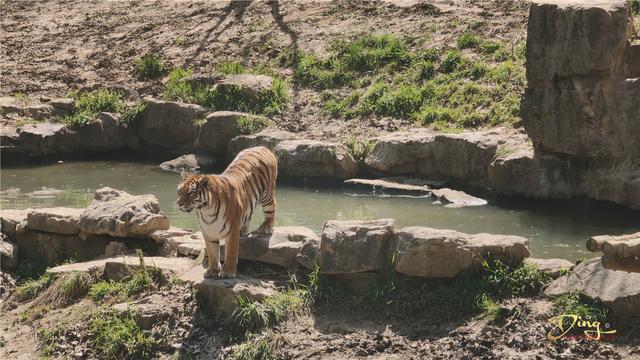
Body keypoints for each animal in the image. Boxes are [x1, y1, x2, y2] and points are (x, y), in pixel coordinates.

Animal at [176, 146, 276, 278]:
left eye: (191, 193)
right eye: (180, 191)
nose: (179, 204)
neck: (206, 211)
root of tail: (262, 147)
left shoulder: (232, 230)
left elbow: (231, 253)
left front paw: (228, 272)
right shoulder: (208, 231)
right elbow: (213, 252)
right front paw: (212, 270)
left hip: (267, 195)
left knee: (271, 210)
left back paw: (266, 227)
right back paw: (243, 231)